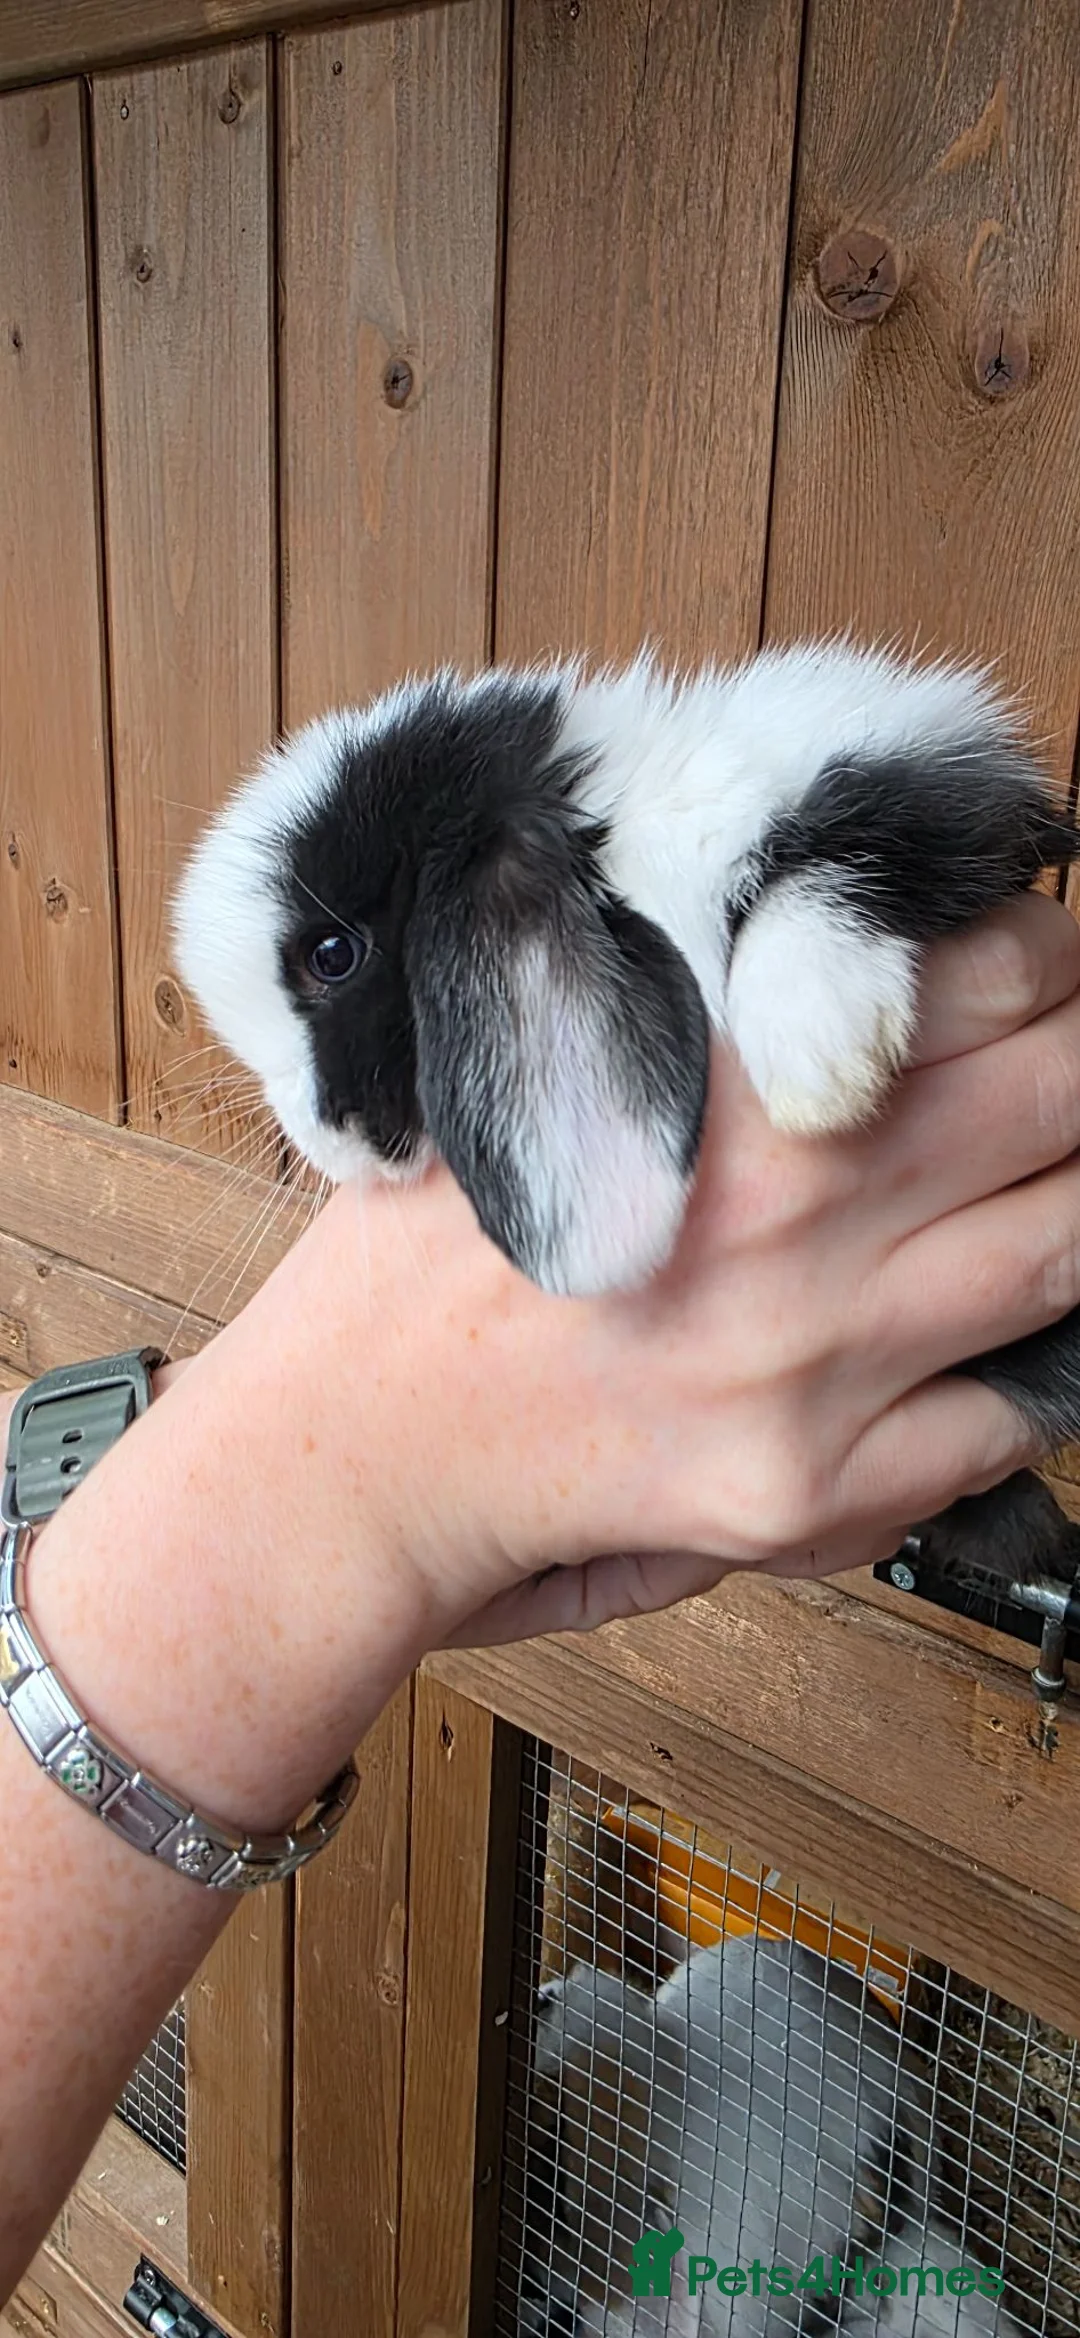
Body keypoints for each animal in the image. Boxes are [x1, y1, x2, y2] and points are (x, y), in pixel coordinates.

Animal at [172, 641, 1080, 1589]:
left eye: (332, 955)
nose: (333, 1141)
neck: (620, 834)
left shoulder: (934, 789)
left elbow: (833, 866)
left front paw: (819, 1057)